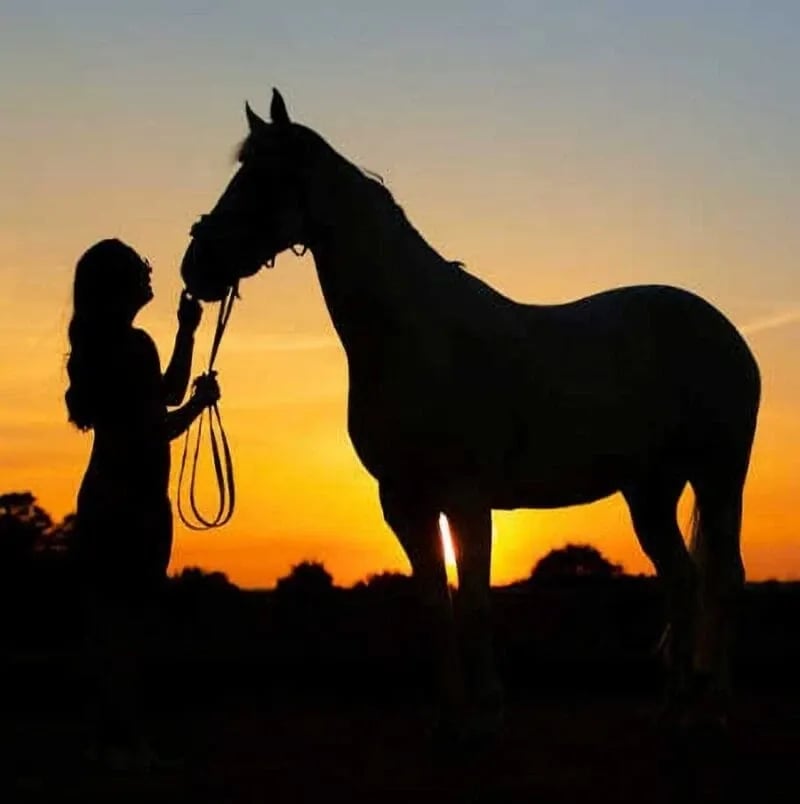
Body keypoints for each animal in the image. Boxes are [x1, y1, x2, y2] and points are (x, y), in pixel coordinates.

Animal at [181, 88, 760, 742]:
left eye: (263, 179)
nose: (196, 266)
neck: (416, 336)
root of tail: (723, 330)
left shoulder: (465, 497)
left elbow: (476, 602)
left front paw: (488, 714)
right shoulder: (402, 502)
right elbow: (437, 604)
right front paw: (449, 718)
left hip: (719, 477)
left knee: (723, 578)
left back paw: (714, 707)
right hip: (650, 490)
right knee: (683, 580)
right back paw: (672, 709)